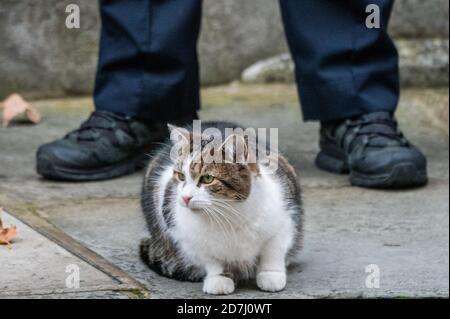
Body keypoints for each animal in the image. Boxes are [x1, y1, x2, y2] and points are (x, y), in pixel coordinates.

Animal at [140, 121, 302, 296]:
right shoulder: (187, 236)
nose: (185, 197)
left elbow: (273, 251)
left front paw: (271, 275)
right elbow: (212, 260)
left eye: (207, 178)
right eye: (180, 176)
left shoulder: (285, 220)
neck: (228, 213)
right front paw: (219, 278)